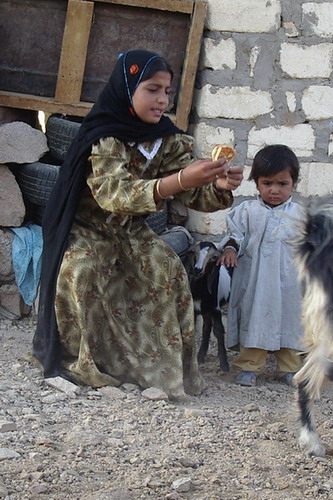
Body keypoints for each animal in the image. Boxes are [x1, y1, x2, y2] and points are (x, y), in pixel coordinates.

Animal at [188, 240, 232, 374]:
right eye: (194, 252)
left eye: (214, 257)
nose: (197, 269)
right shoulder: (195, 309)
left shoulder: (215, 309)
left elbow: (219, 330)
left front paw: (224, 365)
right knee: (206, 327)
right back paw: (200, 356)